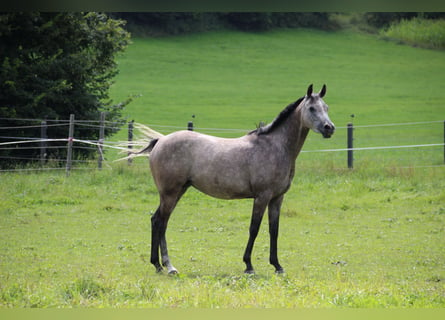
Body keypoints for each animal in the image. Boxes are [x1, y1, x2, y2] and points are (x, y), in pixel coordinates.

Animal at [135, 85, 332, 276]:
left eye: (326, 107)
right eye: (312, 108)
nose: (329, 128)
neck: (275, 146)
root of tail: (161, 140)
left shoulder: (277, 198)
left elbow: (274, 230)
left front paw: (277, 266)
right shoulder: (262, 197)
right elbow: (254, 228)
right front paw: (249, 266)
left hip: (178, 191)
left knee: (156, 220)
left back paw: (157, 265)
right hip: (170, 193)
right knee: (162, 223)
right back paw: (169, 266)